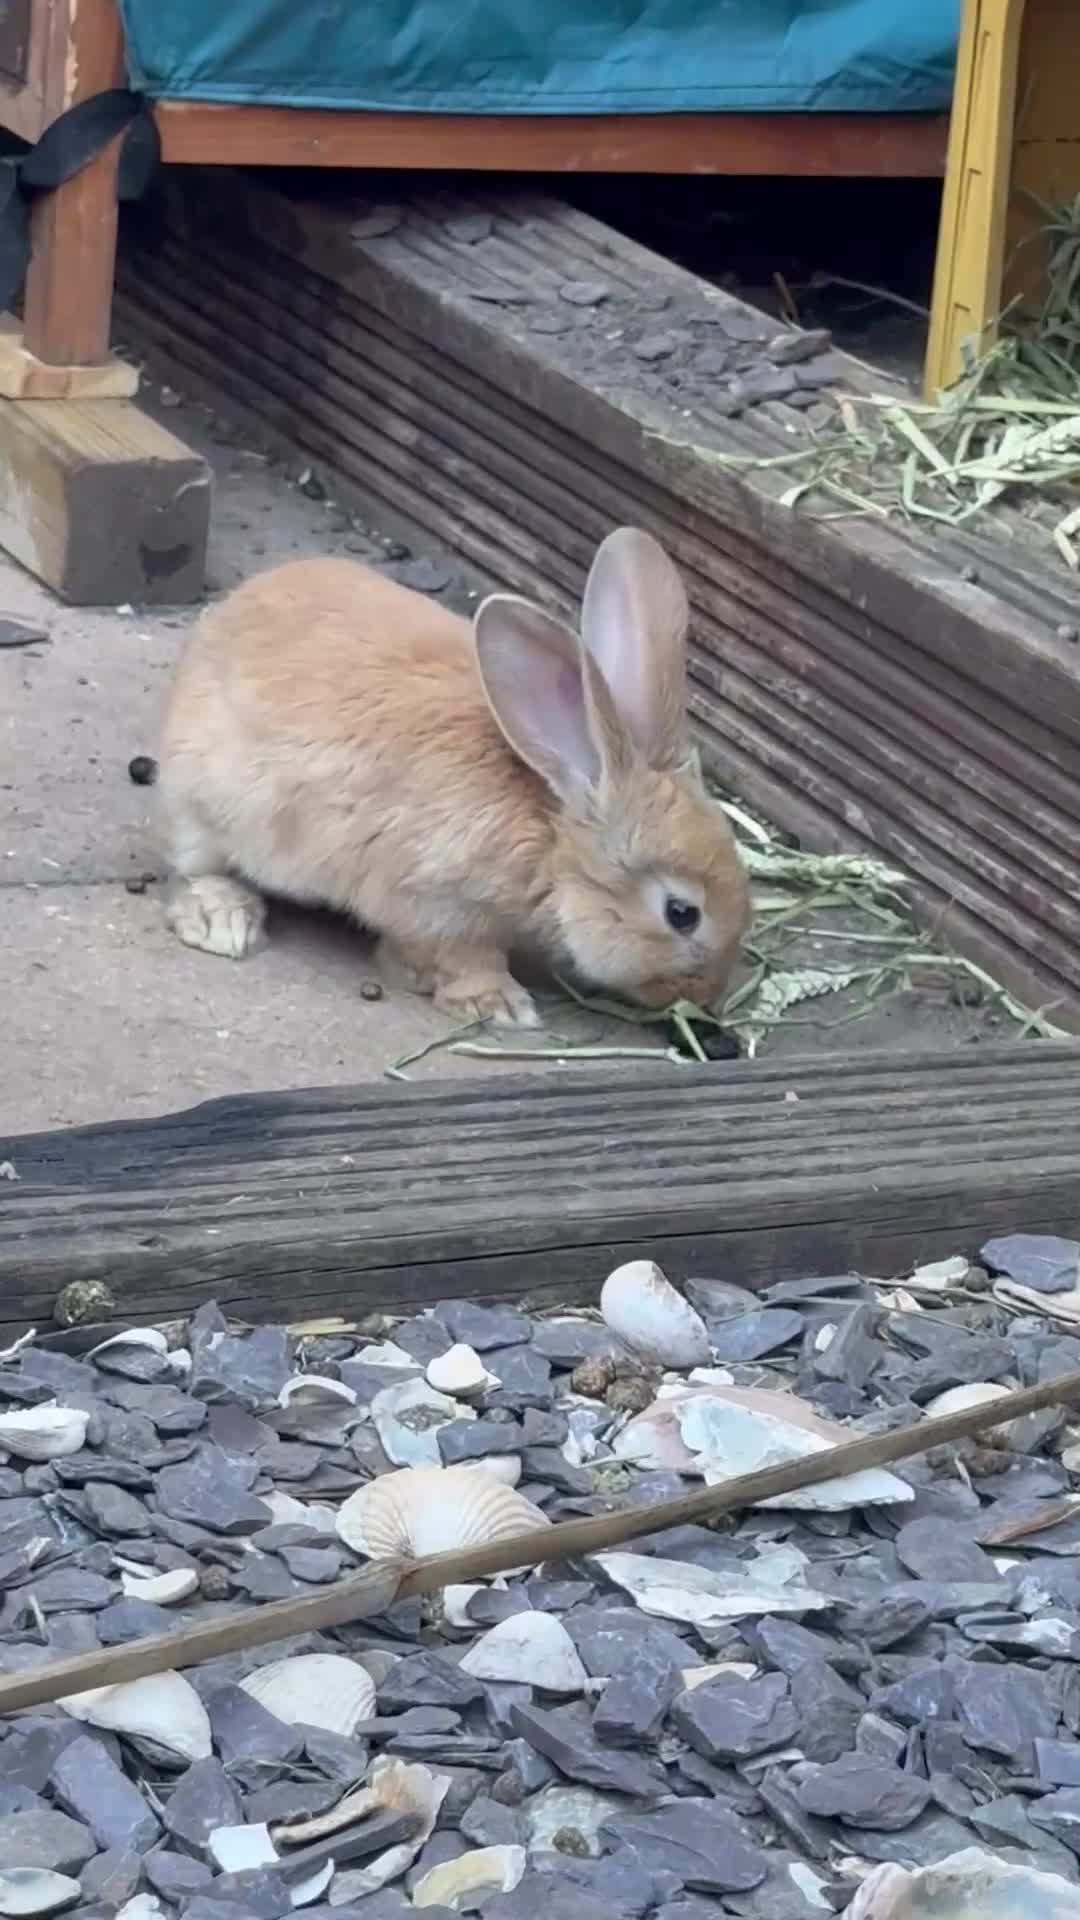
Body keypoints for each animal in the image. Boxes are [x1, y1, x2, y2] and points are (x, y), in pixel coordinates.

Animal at [157, 525, 750, 1027]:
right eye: (682, 914)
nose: (706, 998)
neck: (550, 841)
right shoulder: (437, 905)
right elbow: (461, 958)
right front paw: (500, 1006)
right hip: (208, 812)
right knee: (197, 869)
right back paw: (227, 922)